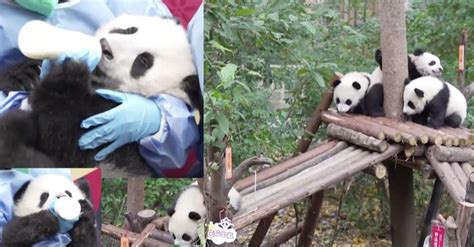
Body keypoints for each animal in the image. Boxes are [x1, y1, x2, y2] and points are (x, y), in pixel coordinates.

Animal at [0, 14, 202, 176]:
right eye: (129, 30)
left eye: (144, 60)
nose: (105, 47)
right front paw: (27, 75)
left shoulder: (103, 133)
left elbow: (64, 138)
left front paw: (68, 78)